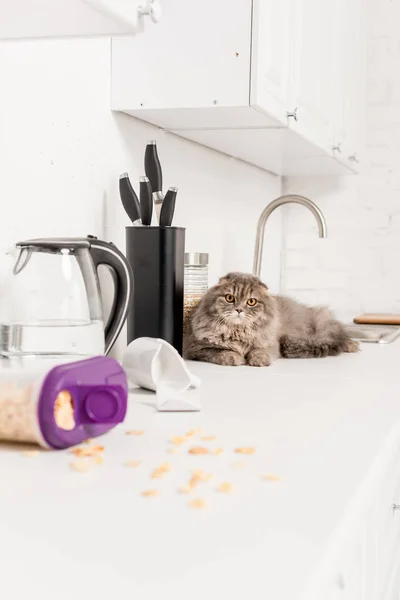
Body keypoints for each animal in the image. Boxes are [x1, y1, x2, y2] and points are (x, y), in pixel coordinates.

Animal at [183, 272, 358, 366]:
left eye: (251, 302)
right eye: (229, 298)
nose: (239, 310)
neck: (238, 332)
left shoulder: (271, 344)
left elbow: (259, 351)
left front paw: (258, 360)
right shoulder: (196, 349)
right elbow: (221, 351)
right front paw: (235, 358)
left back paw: (353, 345)